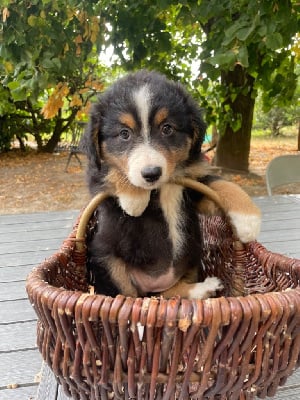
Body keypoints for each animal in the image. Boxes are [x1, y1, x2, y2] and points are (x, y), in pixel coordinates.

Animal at [80, 70, 260, 298]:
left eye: (167, 129)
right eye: (124, 134)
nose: (151, 173)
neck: (163, 187)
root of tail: (152, 286)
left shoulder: (195, 187)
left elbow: (223, 185)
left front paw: (248, 221)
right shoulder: (96, 179)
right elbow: (111, 172)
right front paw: (134, 199)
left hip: (192, 258)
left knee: (170, 292)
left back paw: (205, 288)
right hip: (107, 261)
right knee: (128, 295)